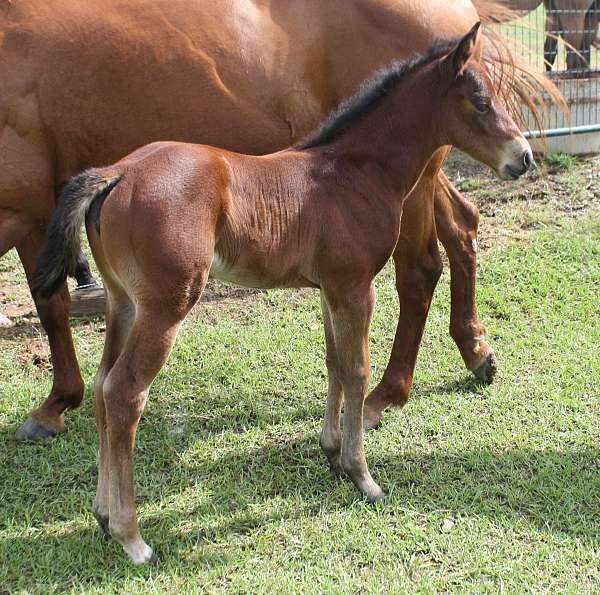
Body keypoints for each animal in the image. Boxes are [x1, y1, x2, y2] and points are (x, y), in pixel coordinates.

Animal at [34, 24, 536, 564]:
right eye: (481, 102)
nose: (524, 157)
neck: (355, 169)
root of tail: (118, 173)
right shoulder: (357, 286)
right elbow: (357, 371)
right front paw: (363, 476)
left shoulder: (331, 289)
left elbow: (334, 363)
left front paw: (333, 452)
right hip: (165, 308)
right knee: (124, 394)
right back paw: (133, 537)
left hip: (122, 303)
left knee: (103, 387)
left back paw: (104, 516)